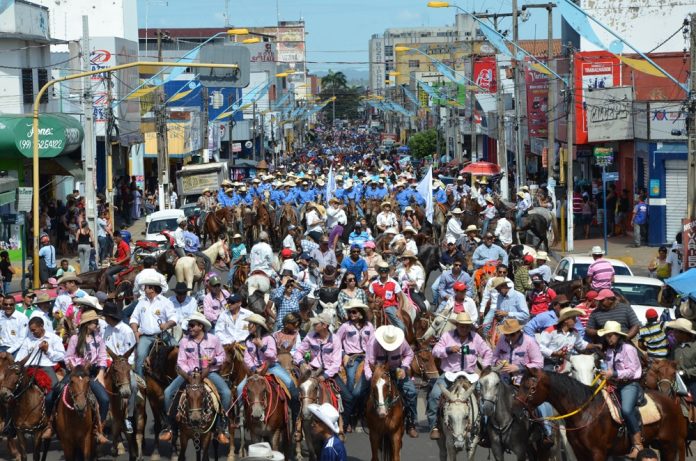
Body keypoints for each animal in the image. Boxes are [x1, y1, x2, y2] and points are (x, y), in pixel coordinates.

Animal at [516, 366, 684, 460]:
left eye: (531, 388)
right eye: (520, 384)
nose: (516, 405)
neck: (585, 411)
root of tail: (671, 402)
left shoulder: (598, 453)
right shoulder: (580, 452)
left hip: (668, 446)